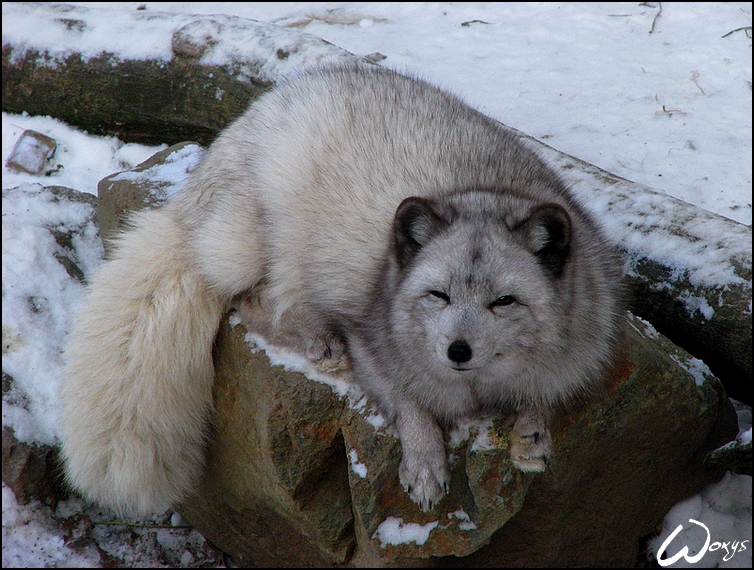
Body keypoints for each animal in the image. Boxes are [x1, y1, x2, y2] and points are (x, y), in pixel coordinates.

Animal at [60, 61, 624, 510]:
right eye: (438, 295)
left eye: (503, 301)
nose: (457, 350)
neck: (477, 388)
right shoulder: (369, 339)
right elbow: (410, 403)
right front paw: (425, 463)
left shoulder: (583, 344)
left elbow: (545, 392)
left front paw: (531, 433)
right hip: (251, 242)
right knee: (249, 299)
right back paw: (318, 340)